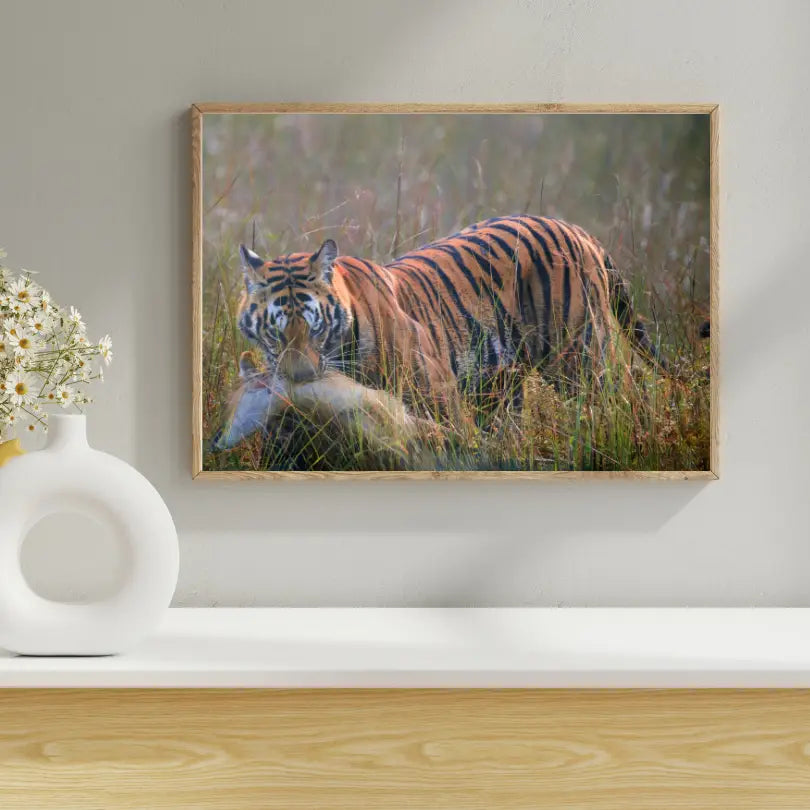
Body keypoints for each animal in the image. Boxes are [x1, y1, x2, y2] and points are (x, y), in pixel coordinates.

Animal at [230, 214, 660, 430]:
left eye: (316, 327)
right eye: (274, 332)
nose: (300, 378)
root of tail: (575, 229)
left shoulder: (438, 392)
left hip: (583, 357)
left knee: (624, 401)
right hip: (502, 383)